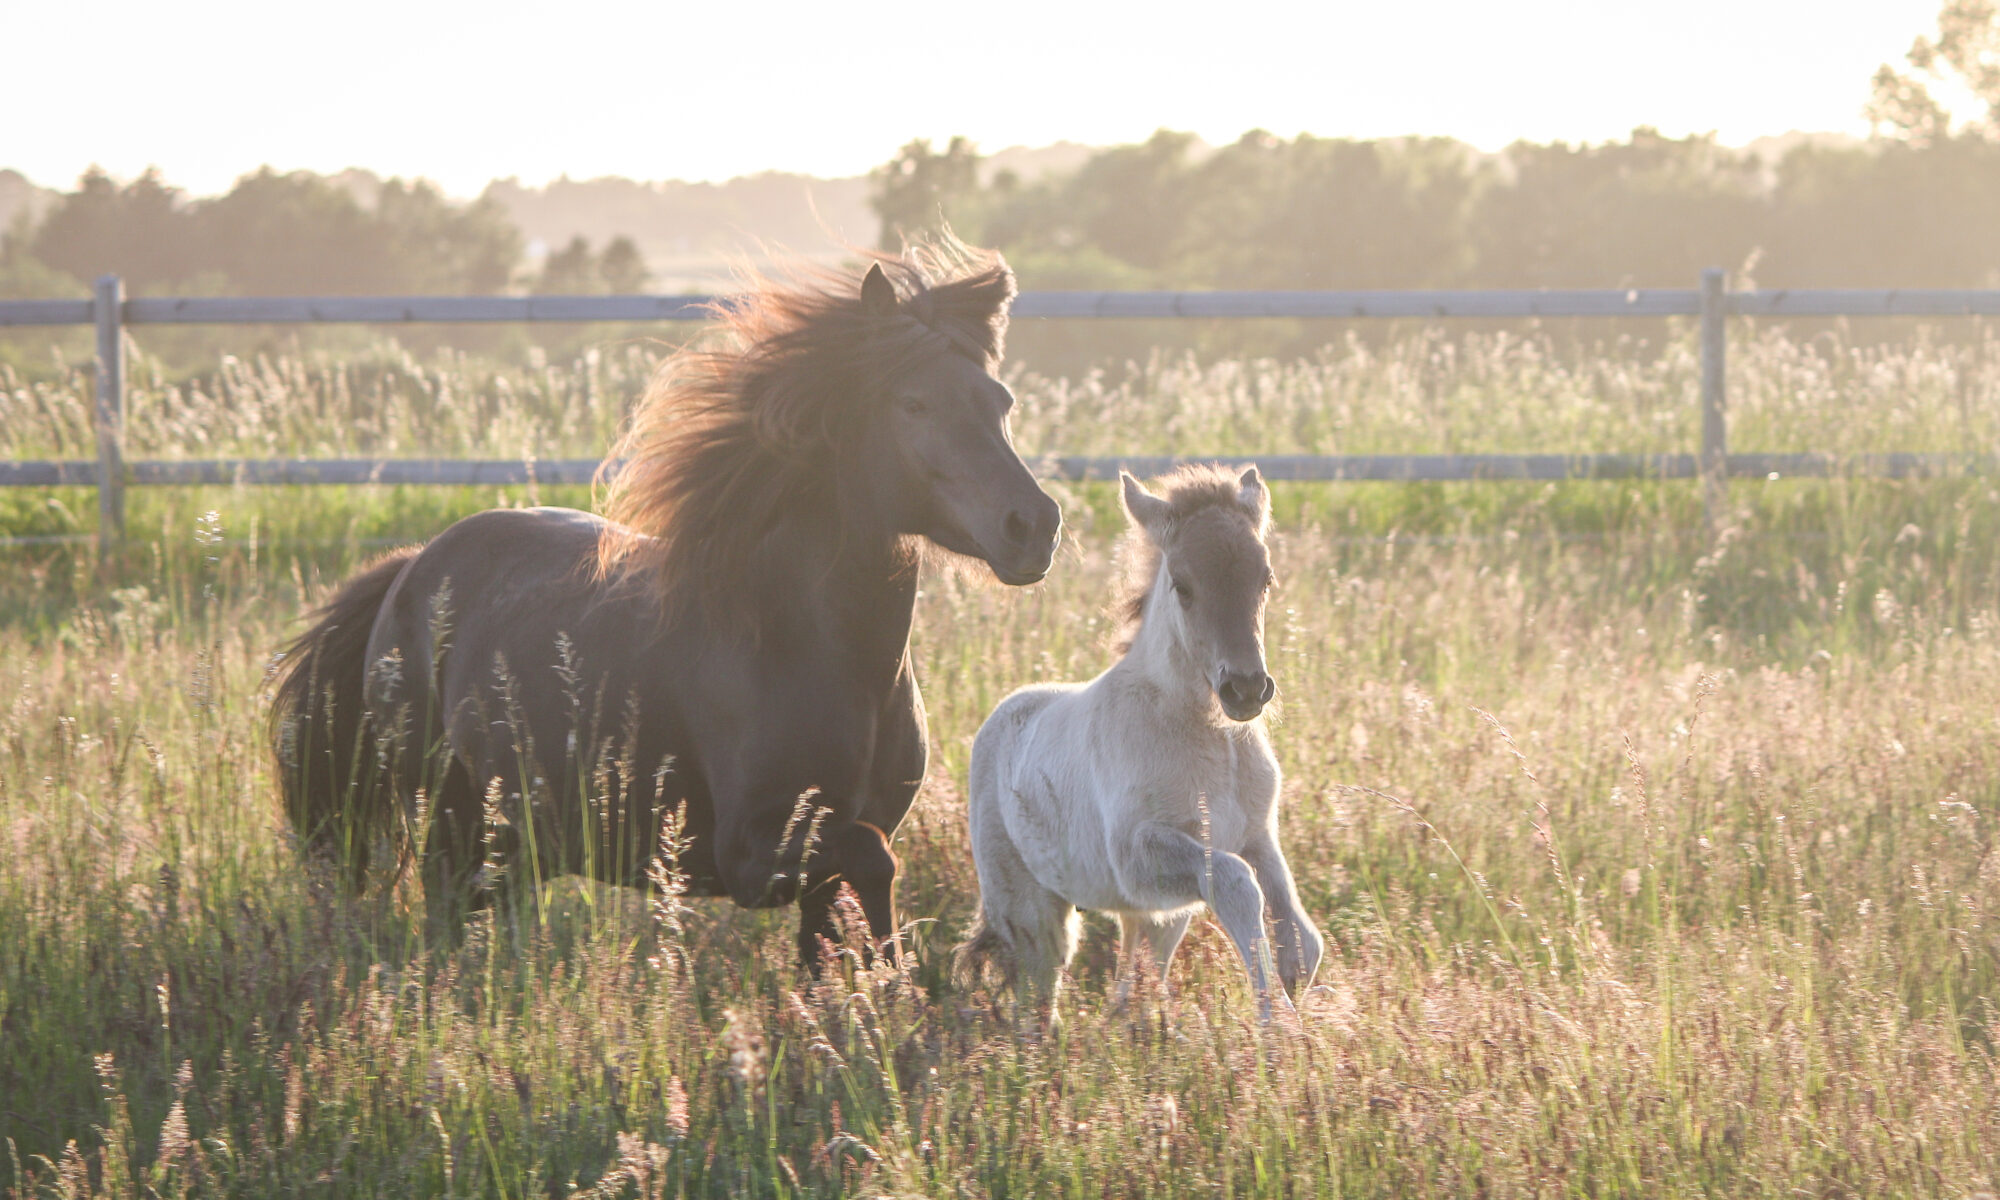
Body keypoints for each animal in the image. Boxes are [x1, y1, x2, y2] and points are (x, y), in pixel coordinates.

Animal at [274, 246, 1072, 964]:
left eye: (1001, 402)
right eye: (913, 402)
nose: (1032, 526)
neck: (808, 646)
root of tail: (410, 570)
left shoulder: (831, 852)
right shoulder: (753, 852)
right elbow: (876, 863)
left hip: (514, 835)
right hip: (448, 817)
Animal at [956, 464, 1320, 1016]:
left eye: (1266, 579)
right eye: (1182, 585)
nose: (1246, 688)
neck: (1211, 739)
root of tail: (999, 718)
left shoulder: (1256, 834)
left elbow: (1304, 940)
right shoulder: (1136, 853)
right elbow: (1236, 883)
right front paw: (1276, 1021)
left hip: (1155, 918)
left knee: (1128, 995)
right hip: (1032, 913)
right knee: (1039, 1001)